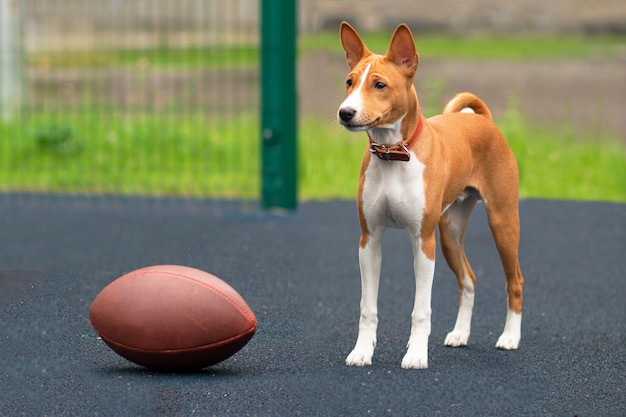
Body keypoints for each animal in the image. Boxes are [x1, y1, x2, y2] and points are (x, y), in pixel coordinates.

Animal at [336, 22, 520, 368]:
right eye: (349, 82)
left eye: (379, 85)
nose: (345, 112)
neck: (393, 155)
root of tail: (482, 119)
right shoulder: (369, 240)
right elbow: (368, 307)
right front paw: (362, 351)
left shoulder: (423, 241)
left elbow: (421, 310)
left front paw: (416, 354)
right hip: (449, 233)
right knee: (469, 279)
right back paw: (460, 334)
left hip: (502, 224)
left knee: (515, 280)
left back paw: (510, 337)